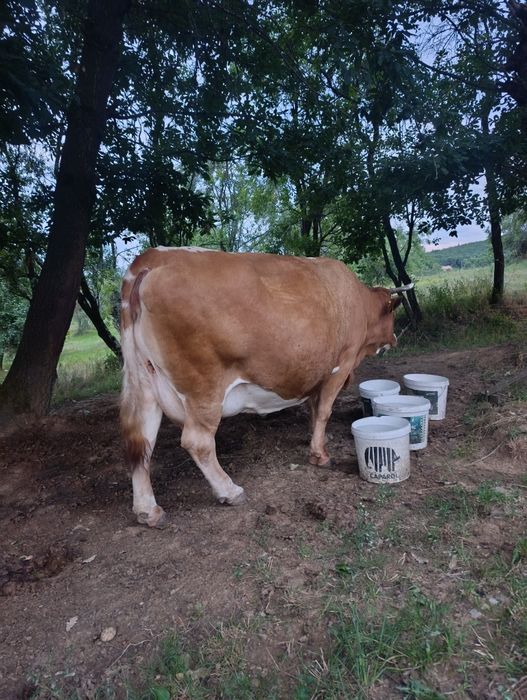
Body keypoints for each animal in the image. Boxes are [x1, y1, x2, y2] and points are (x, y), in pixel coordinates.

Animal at [120, 246, 405, 528]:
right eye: (392, 314)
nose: (395, 338)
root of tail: (155, 257)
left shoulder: (314, 374)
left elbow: (313, 409)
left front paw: (314, 437)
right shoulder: (341, 365)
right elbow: (324, 411)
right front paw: (320, 455)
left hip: (143, 384)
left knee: (141, 442)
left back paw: (148, 510)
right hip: (204, 388)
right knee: (197, 441)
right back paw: (230, 491)